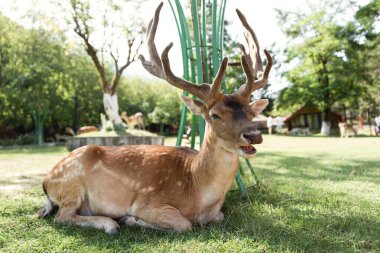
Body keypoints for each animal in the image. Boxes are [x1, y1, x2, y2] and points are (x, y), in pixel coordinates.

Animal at [38, 2, 272, 235]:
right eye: (215, 115)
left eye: (251, 113)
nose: (254, 135)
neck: (196, 192)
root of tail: (46, 180)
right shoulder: (147, 202)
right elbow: (184, 224)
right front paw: (131, 219)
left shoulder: (216, 213)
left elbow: (219, 217)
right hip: (72, 185)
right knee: (62, 216)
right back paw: (111, 224)